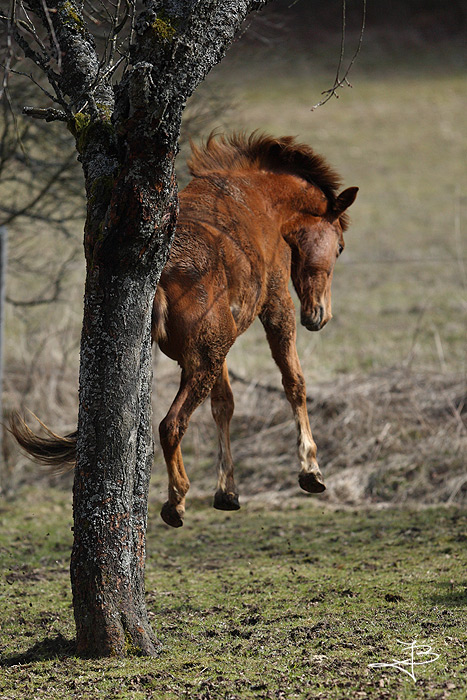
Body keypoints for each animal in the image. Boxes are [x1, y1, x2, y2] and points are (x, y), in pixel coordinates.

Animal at [11, 131, 358, 528]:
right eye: (340, 247)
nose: (319, 316)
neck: (261, 199)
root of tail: (161, 276)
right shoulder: (277, 305)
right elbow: (294, 383)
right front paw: (310, 469)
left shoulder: (223, 343)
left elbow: (224, 405)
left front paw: (227, 491)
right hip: (202, 363)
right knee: (170, 424)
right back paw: (176, 500)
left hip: (203, 356)